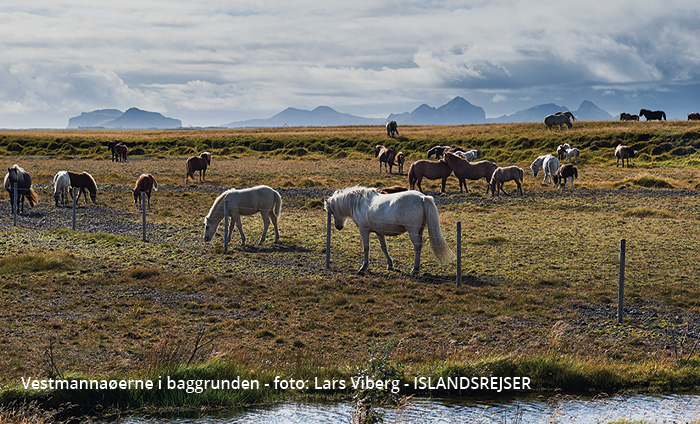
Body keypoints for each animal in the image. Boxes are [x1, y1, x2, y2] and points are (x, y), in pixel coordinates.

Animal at [322, 186, 454, 274]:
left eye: (331, 211)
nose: (338, 227)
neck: (359, 203)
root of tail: (422, 197)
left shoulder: (364, 230)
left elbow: (366, 248)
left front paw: (363, 267)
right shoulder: (379, 232)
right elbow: (384, 248)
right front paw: (390, 265)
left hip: (413, 231)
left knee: (417, 246)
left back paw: (415, 269)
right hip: (419, 231)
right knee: (419, 246)